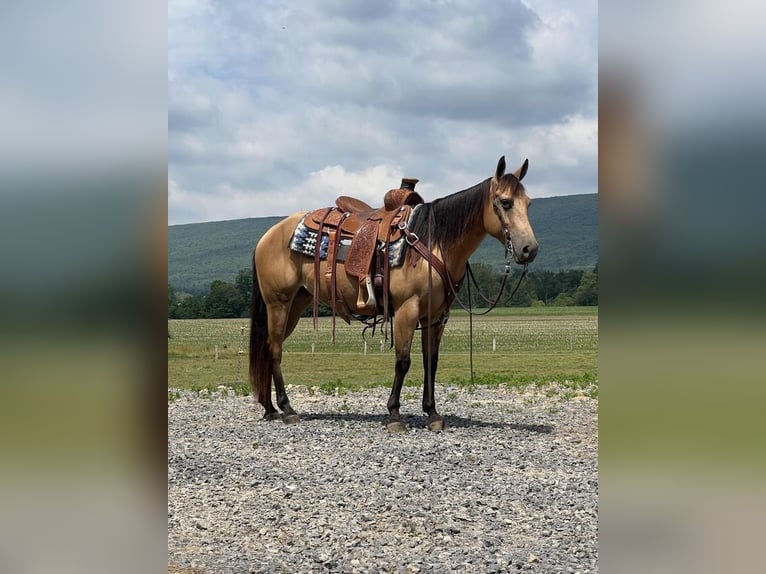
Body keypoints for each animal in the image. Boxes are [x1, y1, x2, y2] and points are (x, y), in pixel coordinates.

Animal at [252, 155, 540, 434]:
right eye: (505, 202)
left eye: (528, 203)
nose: (529, 249)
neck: (433, 243)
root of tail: (268, 236)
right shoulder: (406, 310)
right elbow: (403, 361)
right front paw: (394, 416)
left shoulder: (435, 317)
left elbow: (431, 362)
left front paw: (433, 414)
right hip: (278, 303)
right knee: (275, 350)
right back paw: (287, 409)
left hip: (296, 304)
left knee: (268, 347)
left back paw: (270, 409)